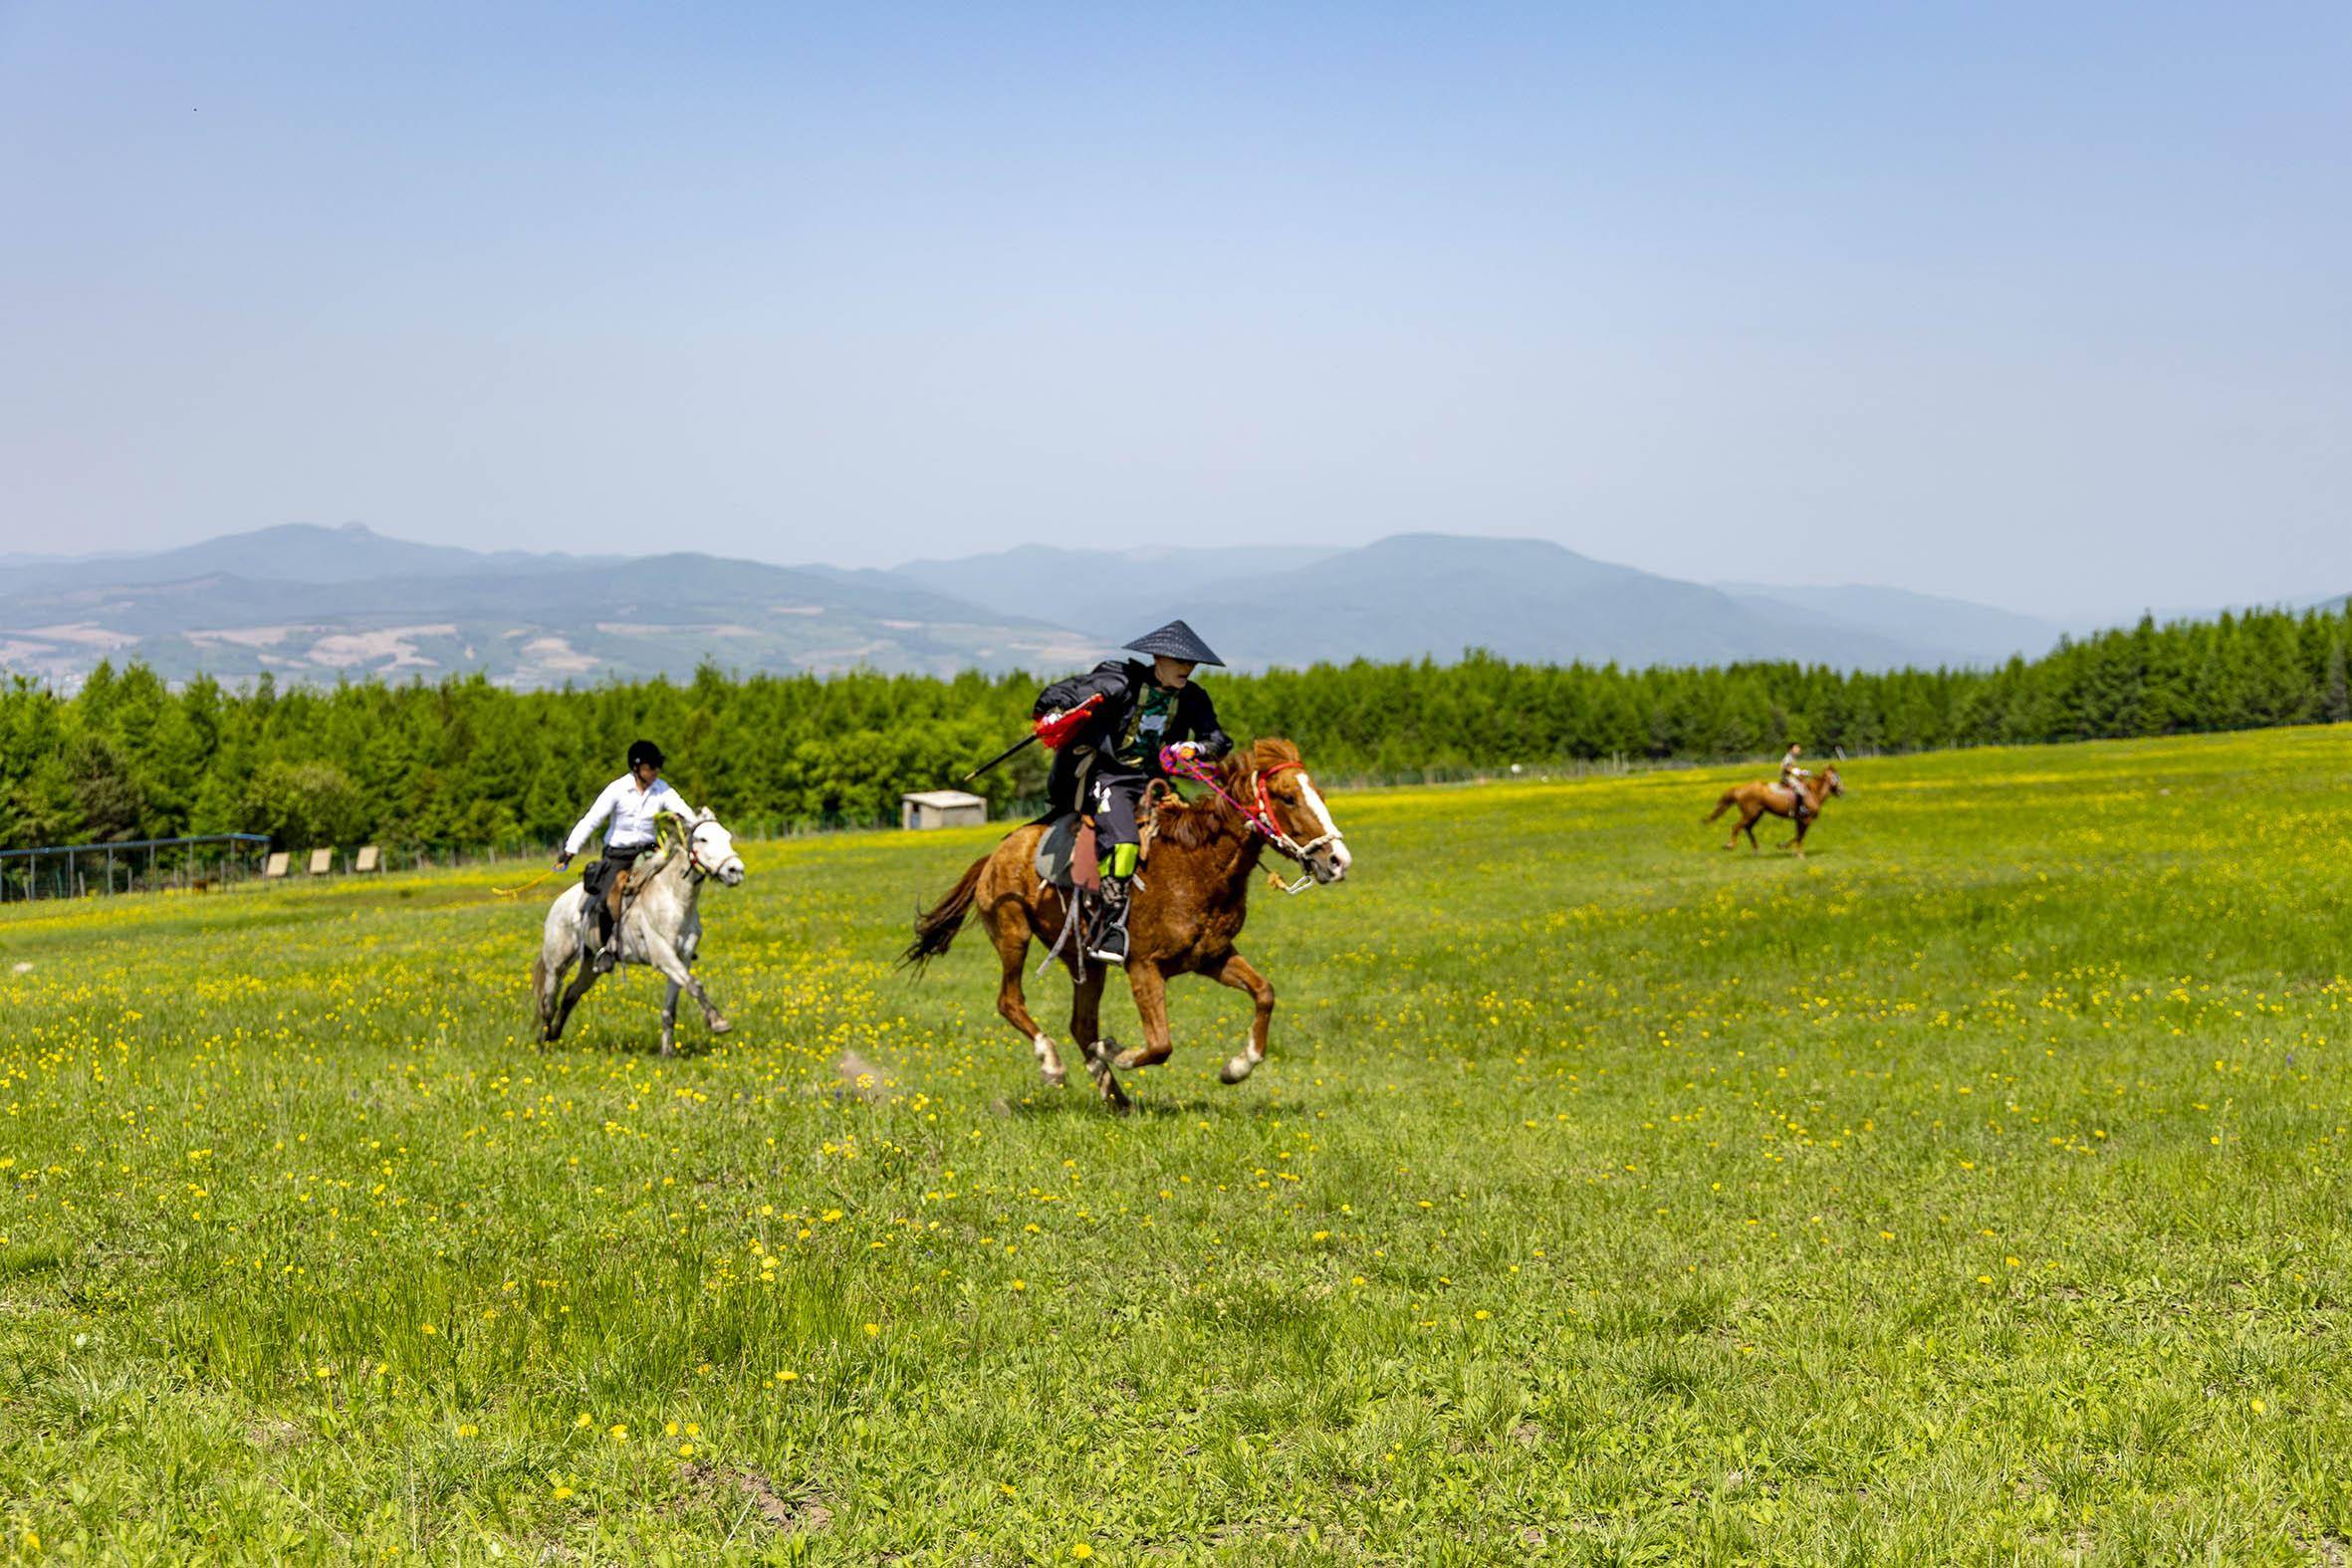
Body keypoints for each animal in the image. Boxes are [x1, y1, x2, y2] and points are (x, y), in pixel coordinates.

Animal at [534, 817, 743, 1062]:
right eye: (703, 839)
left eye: (727, 836)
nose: (736, 871)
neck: (673, 898)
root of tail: (559, 903)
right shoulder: (663, 956)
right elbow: (695, 985)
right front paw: (718, 1022)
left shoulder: (681, 959)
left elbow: (672, 1008)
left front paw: (667, 1052)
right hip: (556, 964)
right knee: (548, 1002)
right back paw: (543, 1044)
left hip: (590, 965)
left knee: (570, 994)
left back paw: (553, 1035)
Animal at [898, 743, 1354, 1109]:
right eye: (1288, 797)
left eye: (1320, 794)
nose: (1338, 861)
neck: (1196, 865)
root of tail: (995, 854)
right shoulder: (1143, 967)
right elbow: (1160, 1044)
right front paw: (1115, 1050)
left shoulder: (1212, 957)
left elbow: (1264, 993)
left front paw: (1237, 1067)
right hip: (1014, 935)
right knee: (1010, 1001)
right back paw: (1053, 1064)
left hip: (1083, 960)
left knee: (1080, 1023)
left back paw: (1115, 1097)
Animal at [1703, 762, 1843, 850]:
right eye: (1836, 777)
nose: (1842, 791)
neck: (1813, 793)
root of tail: (1740, 789)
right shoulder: (1805, 819)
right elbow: (1799, 836)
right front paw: (1793, 851)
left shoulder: (1799, 820)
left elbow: (1798, 836)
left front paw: (1782, 845)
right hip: (1750, 814)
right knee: (1736, 827)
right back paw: (1730, 845)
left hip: (1757, 814)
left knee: (1747, 828)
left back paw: (1756, 849)